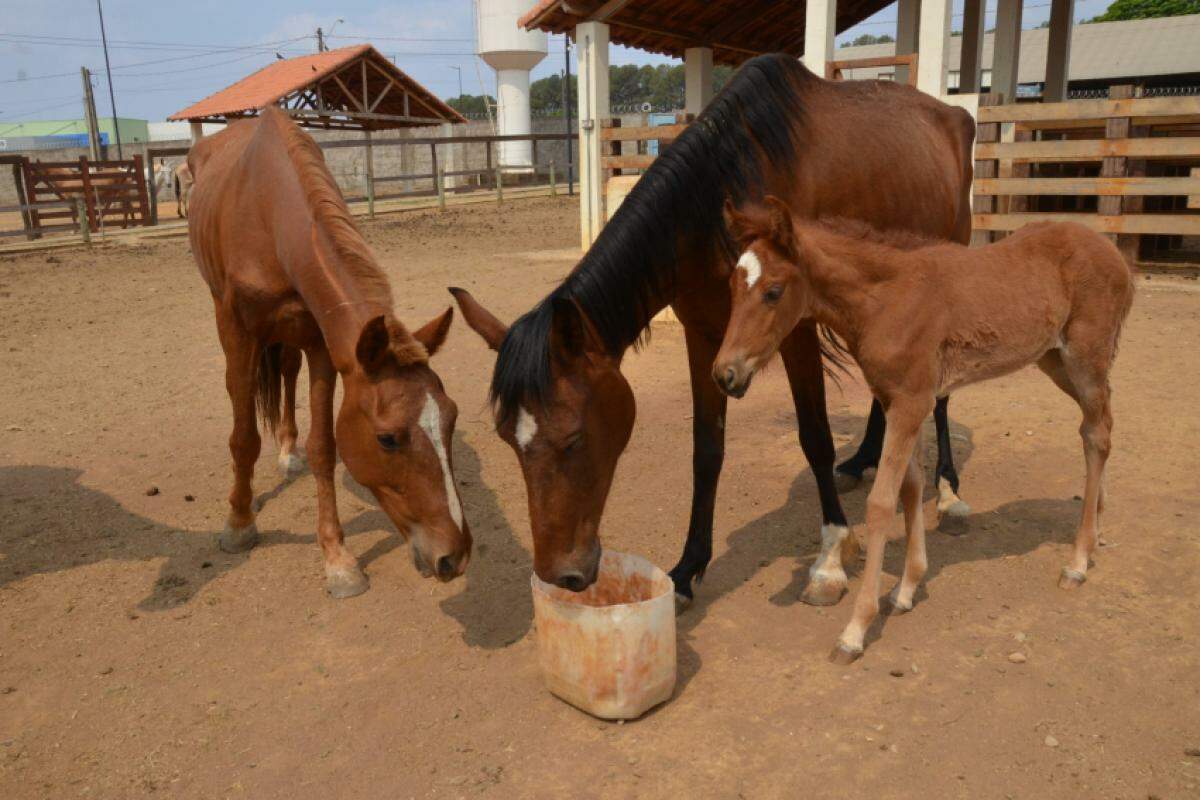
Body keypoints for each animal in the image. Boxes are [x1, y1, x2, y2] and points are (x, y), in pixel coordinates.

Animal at [186, 106, 468, 597]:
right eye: (387, 438)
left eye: (451, 419)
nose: (454, 555)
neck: (269, 209)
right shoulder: (236, 328)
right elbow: (243, 435)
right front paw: (238, 523)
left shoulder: (321, 341)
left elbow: (323, 447)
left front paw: (337, 559)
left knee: (285, 370)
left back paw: (287, 451)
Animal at [451, 54, 974, 606]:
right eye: (507, 439)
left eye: (573, 439)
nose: (561, 576)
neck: (724, 193)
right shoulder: (703, 336)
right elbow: (706, 451)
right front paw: (687, 569)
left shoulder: (796, 333)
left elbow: (815, 436)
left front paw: (830, 557)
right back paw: (866, 461)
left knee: (940, 393)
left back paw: (948, 490)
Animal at [710, 196, 1132, 662]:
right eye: (731, 287)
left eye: (773, 291)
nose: (725, 374)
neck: (886, 300)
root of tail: (1113, 252)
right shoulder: (898, 403)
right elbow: (910, 488)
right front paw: (907, 588)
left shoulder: (911, 404)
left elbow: (881, 503)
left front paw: (855, 629)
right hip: (1055, 361)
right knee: (1100, 426)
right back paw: (1097, 523)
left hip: (1084, 358)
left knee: (1097, 434)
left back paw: (1077, 561)